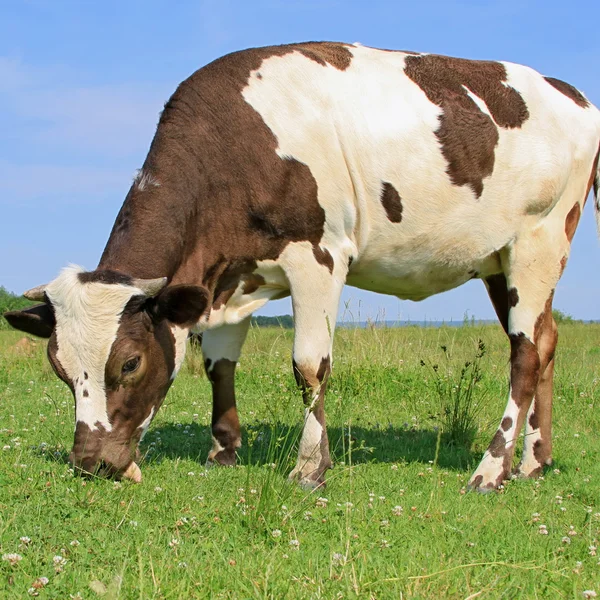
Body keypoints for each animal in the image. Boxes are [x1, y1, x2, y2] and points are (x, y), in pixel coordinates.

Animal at [5, 43, 600, 492]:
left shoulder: (319, 255)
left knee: (525, 354)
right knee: (546, 341)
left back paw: (491, 469)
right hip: (501, 260)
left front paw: (311, 467)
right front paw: (223, 450)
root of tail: (569, 93)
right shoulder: (233, 273)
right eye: (59, 368)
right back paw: (534, 462)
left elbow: (310, 365)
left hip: (538, 243)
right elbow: (219, 363)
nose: (91, 462)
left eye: (129, 363)